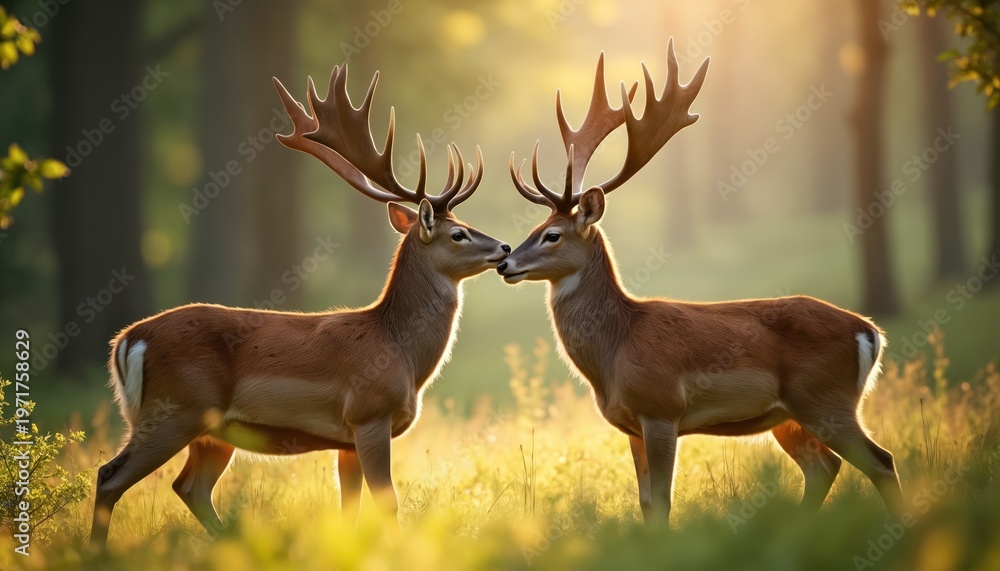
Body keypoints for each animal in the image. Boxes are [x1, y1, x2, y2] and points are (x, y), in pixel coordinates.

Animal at [88, 64, 510, 548]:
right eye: (458, 234)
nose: (504, 247)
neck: (400, 352)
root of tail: (127, 340)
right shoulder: (369, 414)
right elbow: (387, 503)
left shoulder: (346, 442)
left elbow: (349, 512)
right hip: (173, 410)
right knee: (110, 476)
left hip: (211, 432)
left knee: (189, 486)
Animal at [497, 40, 904, 524]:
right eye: (535, 227)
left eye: (552, 235)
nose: (505, 263)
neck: (616, 349)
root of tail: (870, 332)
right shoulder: (630, 425)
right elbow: (646, 503)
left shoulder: (661, 409)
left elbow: (663, 500)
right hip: (791, 416)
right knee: (825, 466)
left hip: (826, 399)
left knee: (880, 460)